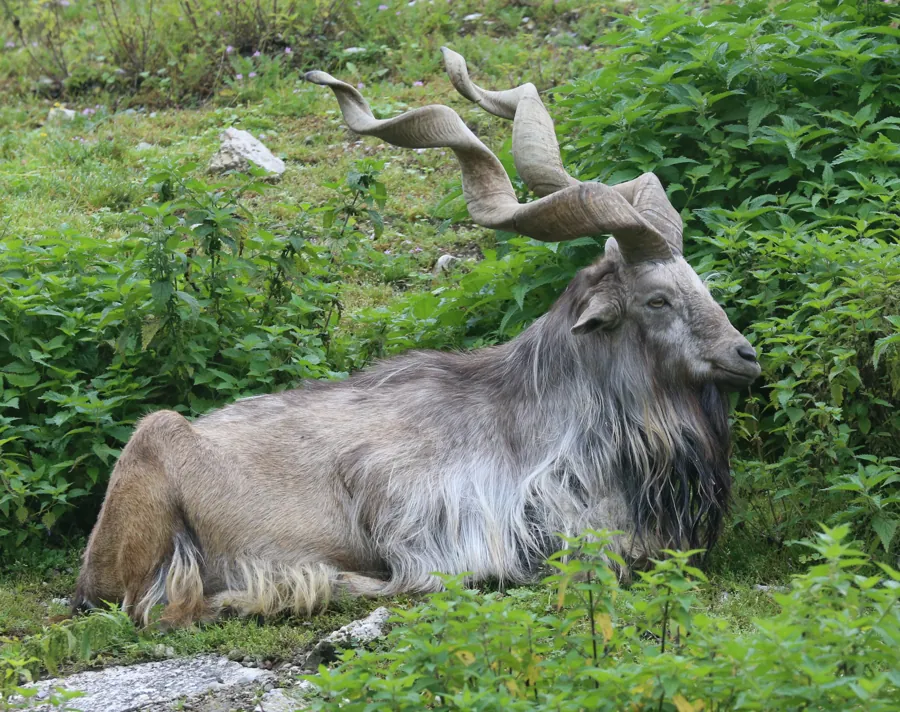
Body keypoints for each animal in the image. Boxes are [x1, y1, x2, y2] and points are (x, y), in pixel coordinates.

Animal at [73, 49, 760, 627]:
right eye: (657, 299)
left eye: (698, 283)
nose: (745, 355)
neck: (542, 416)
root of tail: (89, 568)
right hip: (155, 450)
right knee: (158, 607)